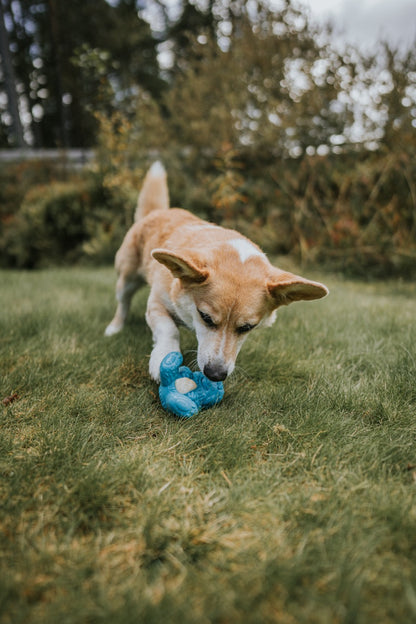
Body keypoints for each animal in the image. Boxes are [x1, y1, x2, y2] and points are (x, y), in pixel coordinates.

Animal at [105, 161, 328, 382]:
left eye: (246, 328)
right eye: (206, 317)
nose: (215, 375)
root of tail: (157, 212)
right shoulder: (157, 302)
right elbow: (169, 330)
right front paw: (163, 358)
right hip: (126, 279)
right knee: (123, 303)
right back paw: (114, 328)